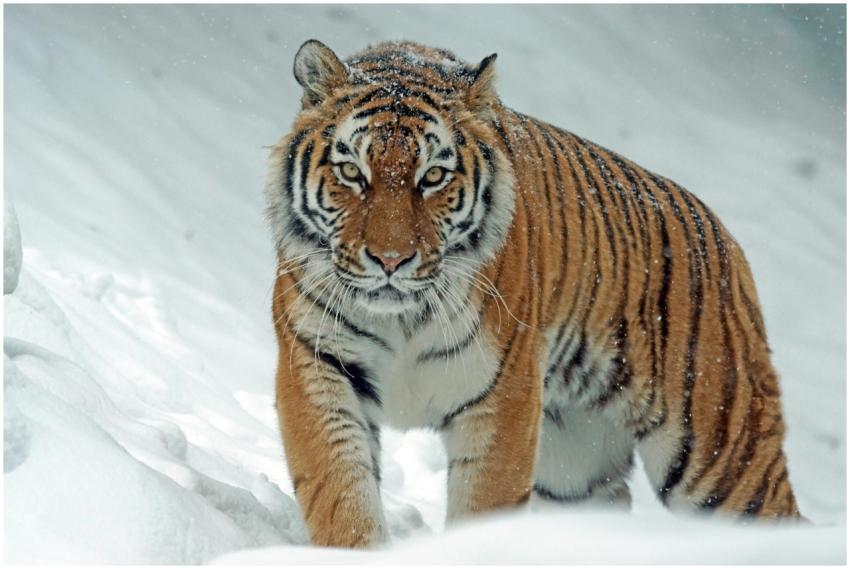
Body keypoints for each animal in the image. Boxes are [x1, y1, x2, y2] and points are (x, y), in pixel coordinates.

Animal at [265, 39, 802, 548]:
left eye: (433, 176)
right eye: (352, 173)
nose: (391, 260)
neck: (402, 318)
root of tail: (726, 239)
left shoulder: (504, 394)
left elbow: (483, 506)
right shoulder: (317, 365)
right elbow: (340, 493)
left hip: (721, 454)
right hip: (575, 468)